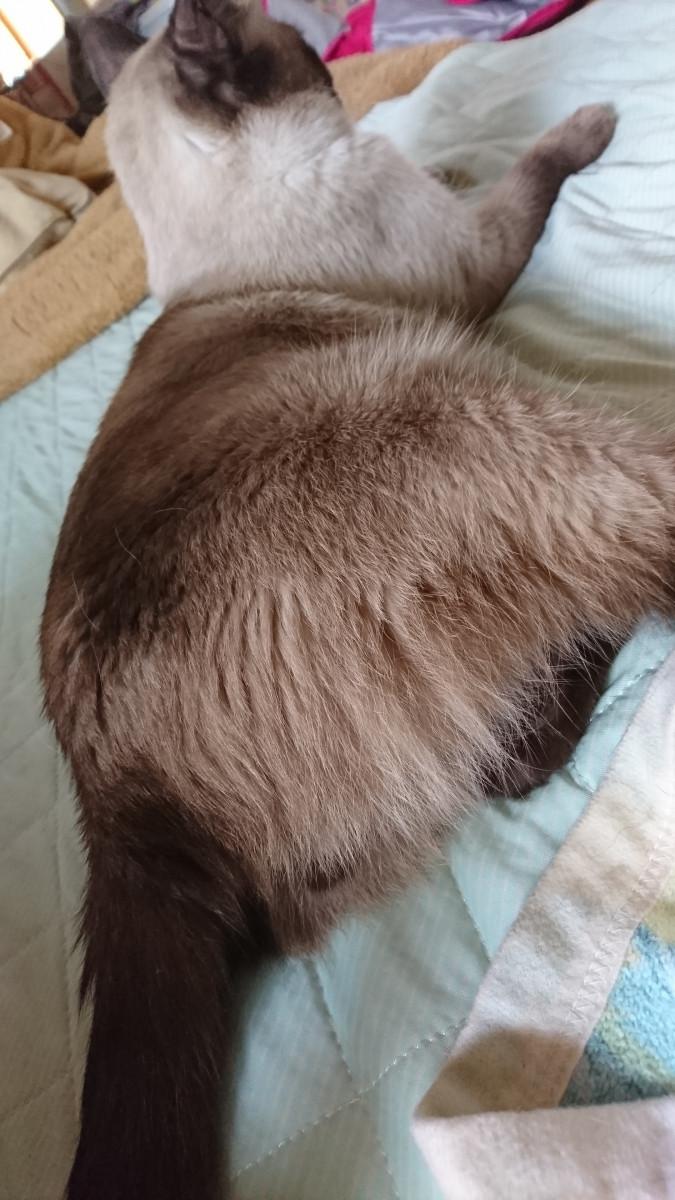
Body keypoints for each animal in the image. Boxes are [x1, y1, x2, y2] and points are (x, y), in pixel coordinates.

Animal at [41, 2, 675, 1197]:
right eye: (296, 42)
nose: (325, 62)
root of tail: (119, 810)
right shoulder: (475, 258)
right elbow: (537, 168)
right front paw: (590, 124)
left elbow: (474, 169)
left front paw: (457, 151)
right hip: (479, 411)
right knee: (578, 638)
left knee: (513, 748)